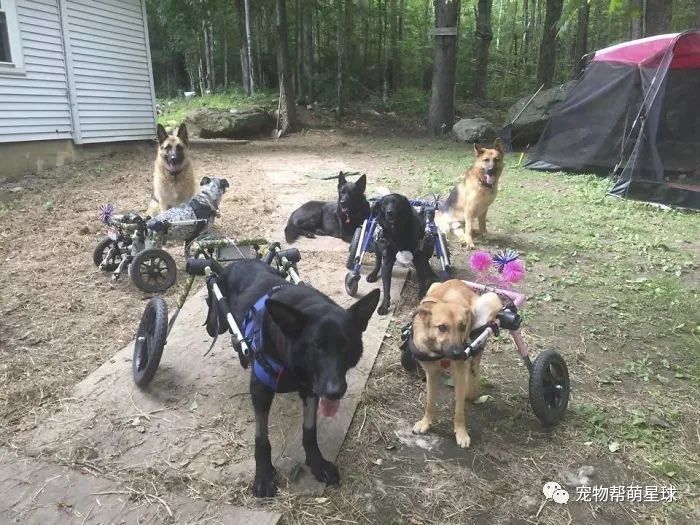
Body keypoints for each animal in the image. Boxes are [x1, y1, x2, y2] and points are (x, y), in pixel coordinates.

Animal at [217, 258, 382, 496]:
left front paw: (317, 463)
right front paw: (264, 474)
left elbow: (310, 431)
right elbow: (261, 438)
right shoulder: (260, 391)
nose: (334, 392)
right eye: (316, 346)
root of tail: (239, 260)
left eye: (346, 345)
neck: (292, 363)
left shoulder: (311, 389)